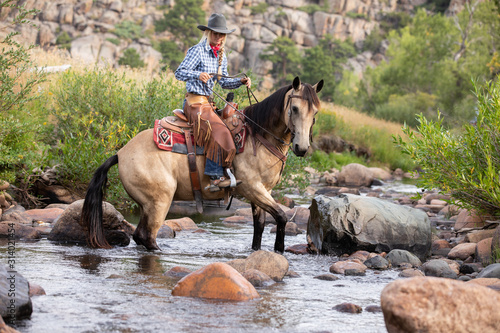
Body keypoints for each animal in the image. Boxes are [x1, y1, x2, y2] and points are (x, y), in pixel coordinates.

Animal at [81, 76, 324, 252]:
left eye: (315, 112)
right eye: (294, 109)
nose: (302, 148)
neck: (258, 135)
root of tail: (121, 153)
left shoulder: (263, 191)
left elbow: (259, 226)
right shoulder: (252, 188)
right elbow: (281, 217)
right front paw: (279, 251)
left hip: (147, 204)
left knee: (140, 236)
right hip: (159, 201)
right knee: (147, 236)